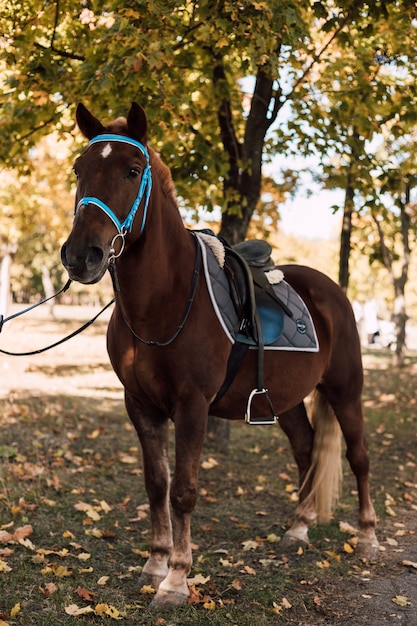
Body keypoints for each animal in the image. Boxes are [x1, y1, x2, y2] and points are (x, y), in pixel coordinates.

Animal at [61, 103, 376, 608]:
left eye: (132, 171)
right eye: (78, 169)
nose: (81, 255)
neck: (165, 300)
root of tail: (332, 290)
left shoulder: (192, 406)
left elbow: (184, 490)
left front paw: (176, 580)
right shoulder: (140, 405)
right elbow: (156, 484)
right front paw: (155, 562)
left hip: (346, 390)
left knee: (359, 456)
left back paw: (367, 537)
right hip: (285, 399)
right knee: (306, 450)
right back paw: (300, 528)